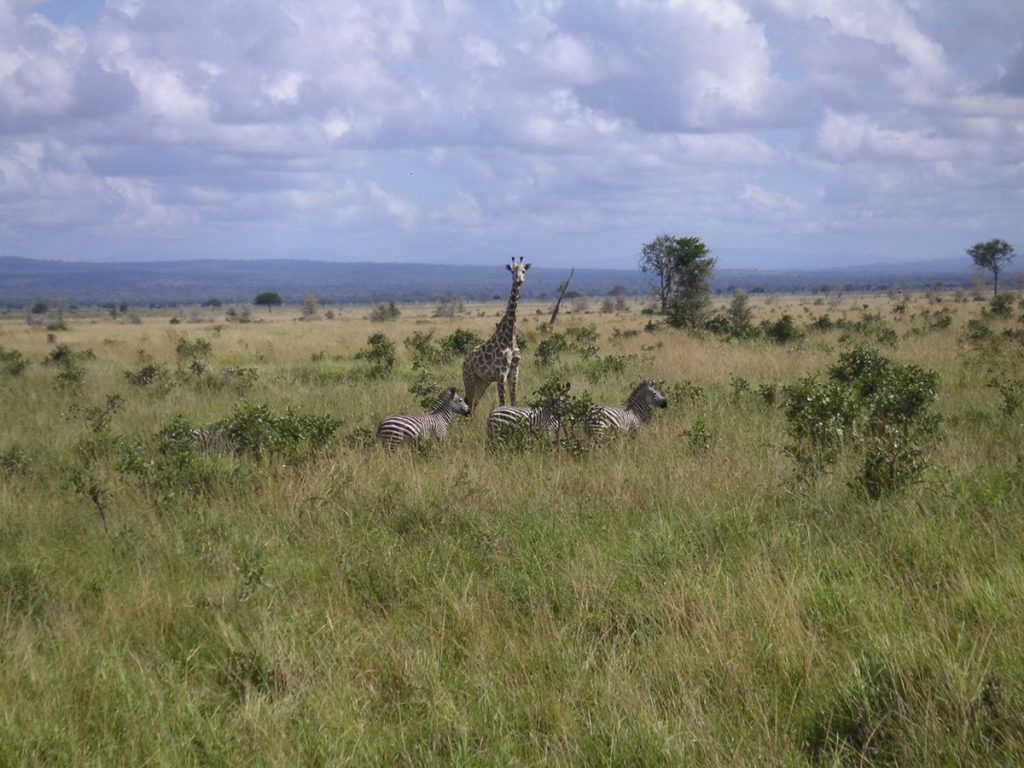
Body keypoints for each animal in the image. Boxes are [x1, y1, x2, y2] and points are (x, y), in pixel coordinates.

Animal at [462, 257, 532, 415]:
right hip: (469, 378)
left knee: (473, 404)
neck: (509, 338)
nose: (519, 280)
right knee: (468, 403)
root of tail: (465, 360)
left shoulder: (514, 371)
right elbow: (502, 403)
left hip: (483, 381)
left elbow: (514, 402)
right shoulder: (501, 373)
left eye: (524, 270)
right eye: (512, 271)